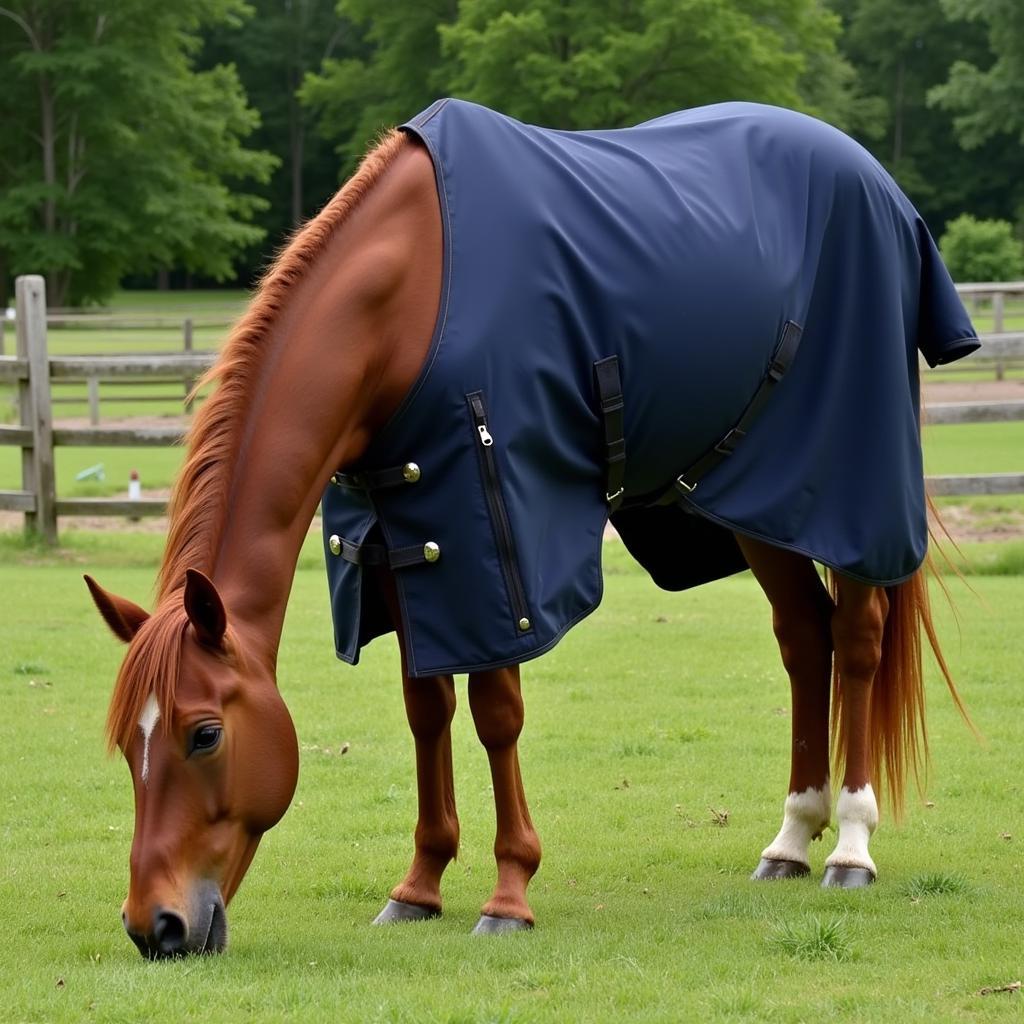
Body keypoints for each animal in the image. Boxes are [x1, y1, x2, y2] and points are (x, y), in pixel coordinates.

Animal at [86, 99, 974, 954]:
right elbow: (427, 707)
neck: (408, 296)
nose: (154, 926)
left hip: (848, 492)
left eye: (204, 735)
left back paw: (849, 843)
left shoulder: (494, 532)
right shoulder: (398, 542)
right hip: (760, 500)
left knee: (855, 640)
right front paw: (420, 885)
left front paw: (509, 894)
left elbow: (495, 711)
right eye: (128, 745)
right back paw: (791, 837)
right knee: (803, 637)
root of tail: (873, 181)